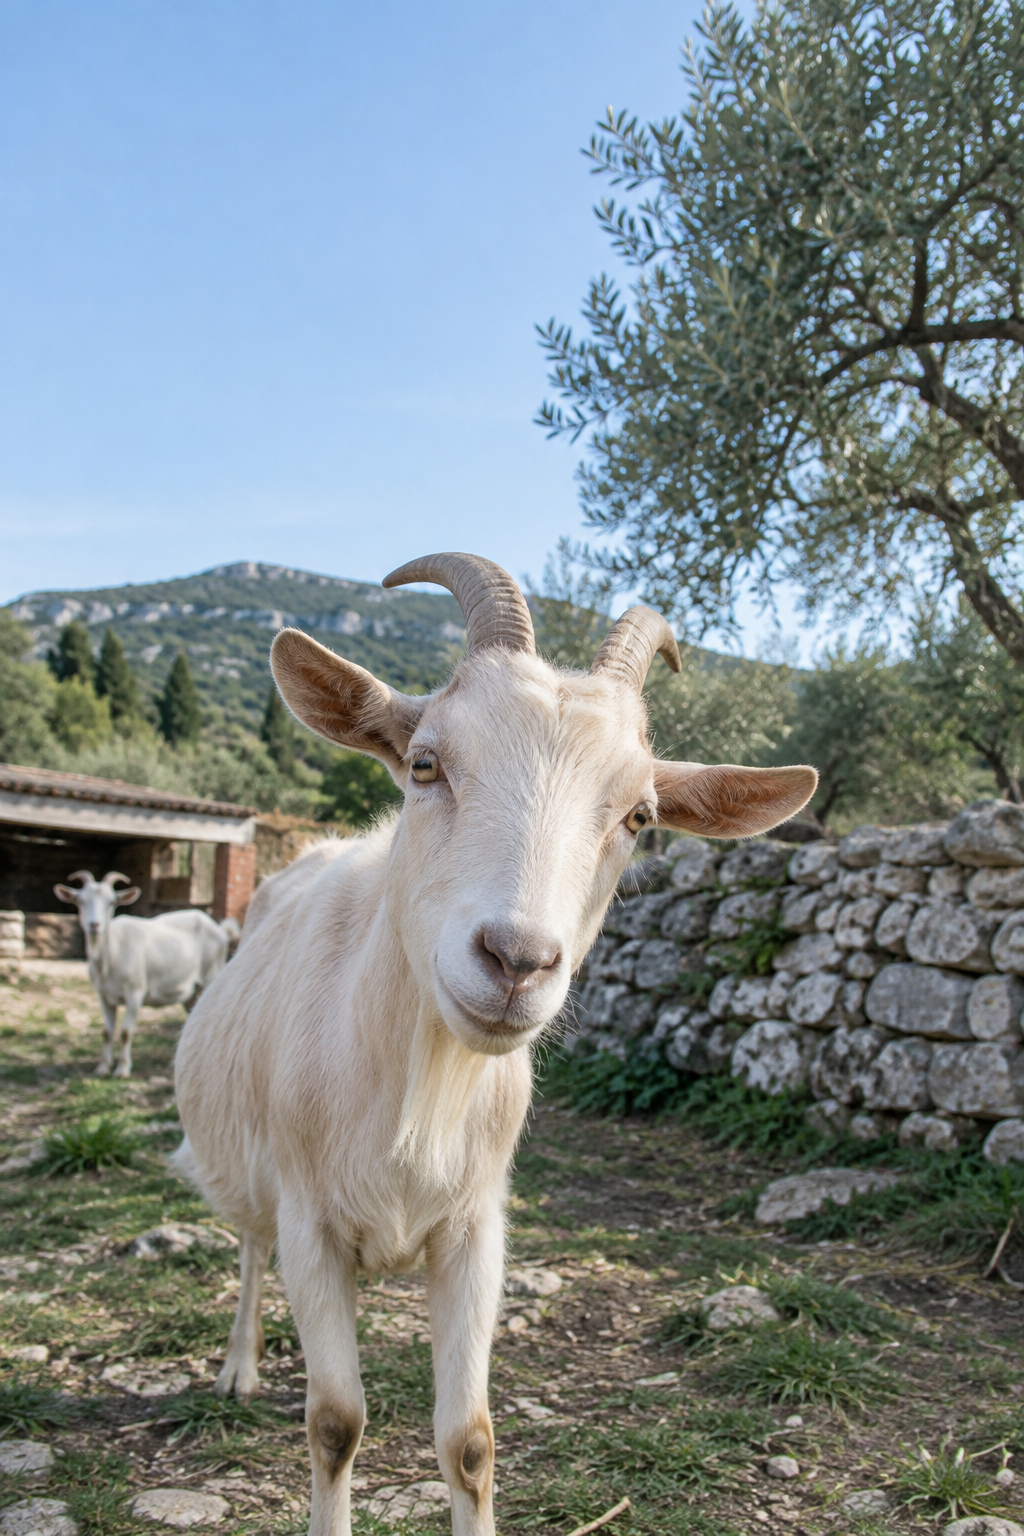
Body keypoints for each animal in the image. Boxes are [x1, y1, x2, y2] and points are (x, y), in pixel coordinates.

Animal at [55, 871, 238, 1078]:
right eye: (80, 901)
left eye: (111, 902)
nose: (94, 925)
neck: (112, 952)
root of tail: (221, 930)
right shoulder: (104, 996)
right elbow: (106, 1032)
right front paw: (102, 1068)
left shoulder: (135, 992)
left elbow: (125, 1032)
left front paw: (122, 1069)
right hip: (190, 992)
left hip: (211, 974)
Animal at [173, 553, 816, 1536]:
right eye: (425, 762)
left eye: (640, 817)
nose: (516, 960)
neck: (415, 1089)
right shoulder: (310, 1221)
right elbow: (335, 1422)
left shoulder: (476, 1228)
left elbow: (469, 1442)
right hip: (251, 1174)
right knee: (247, 1251)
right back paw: (239, 1367)